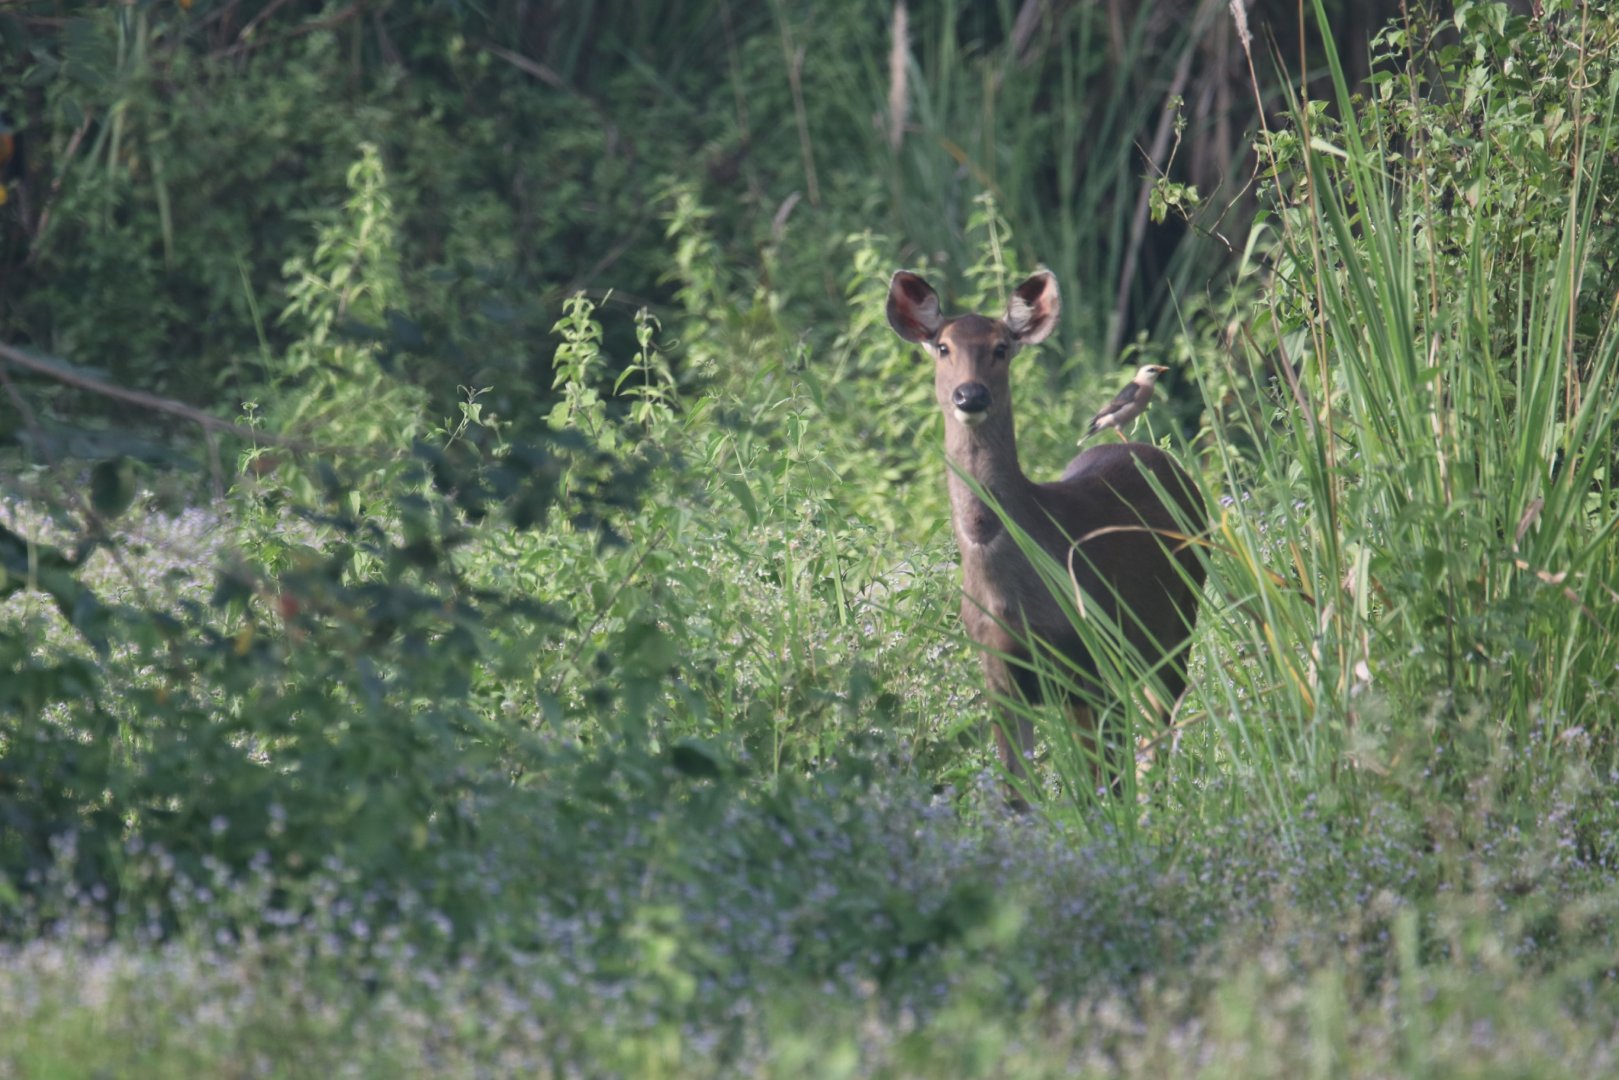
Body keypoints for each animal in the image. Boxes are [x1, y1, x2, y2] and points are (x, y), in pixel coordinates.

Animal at [885, 269, 1207, 805]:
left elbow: (1101, 788)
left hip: (1178, 619)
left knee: (1161, 729)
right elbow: (1016, 796)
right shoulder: (1000, 677)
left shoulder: (1093, 657)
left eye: (1000, 347)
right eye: (943, 346)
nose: (970, 396)